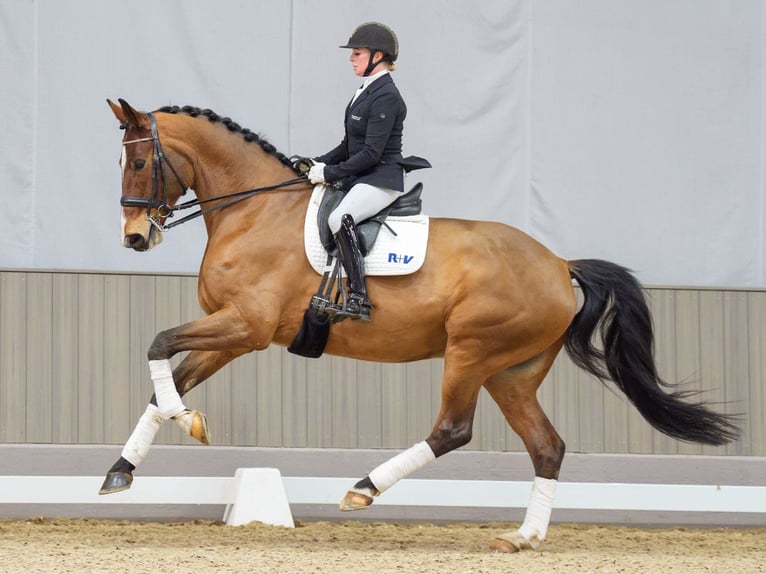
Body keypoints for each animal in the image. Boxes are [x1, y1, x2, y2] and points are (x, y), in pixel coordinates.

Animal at [100, 98, 736, 552]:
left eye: (139, 162)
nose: (135, 238)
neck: (253, 209)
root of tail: (559, 265)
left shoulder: (246, 327)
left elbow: (157, 347)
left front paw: (189, 423)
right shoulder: (231, 333)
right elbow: (164, 384)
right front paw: (122, 471)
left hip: (472, 353)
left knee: (453, 429)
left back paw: (363, 489)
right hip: (512, 373)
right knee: (547, 446)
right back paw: (524, 537)